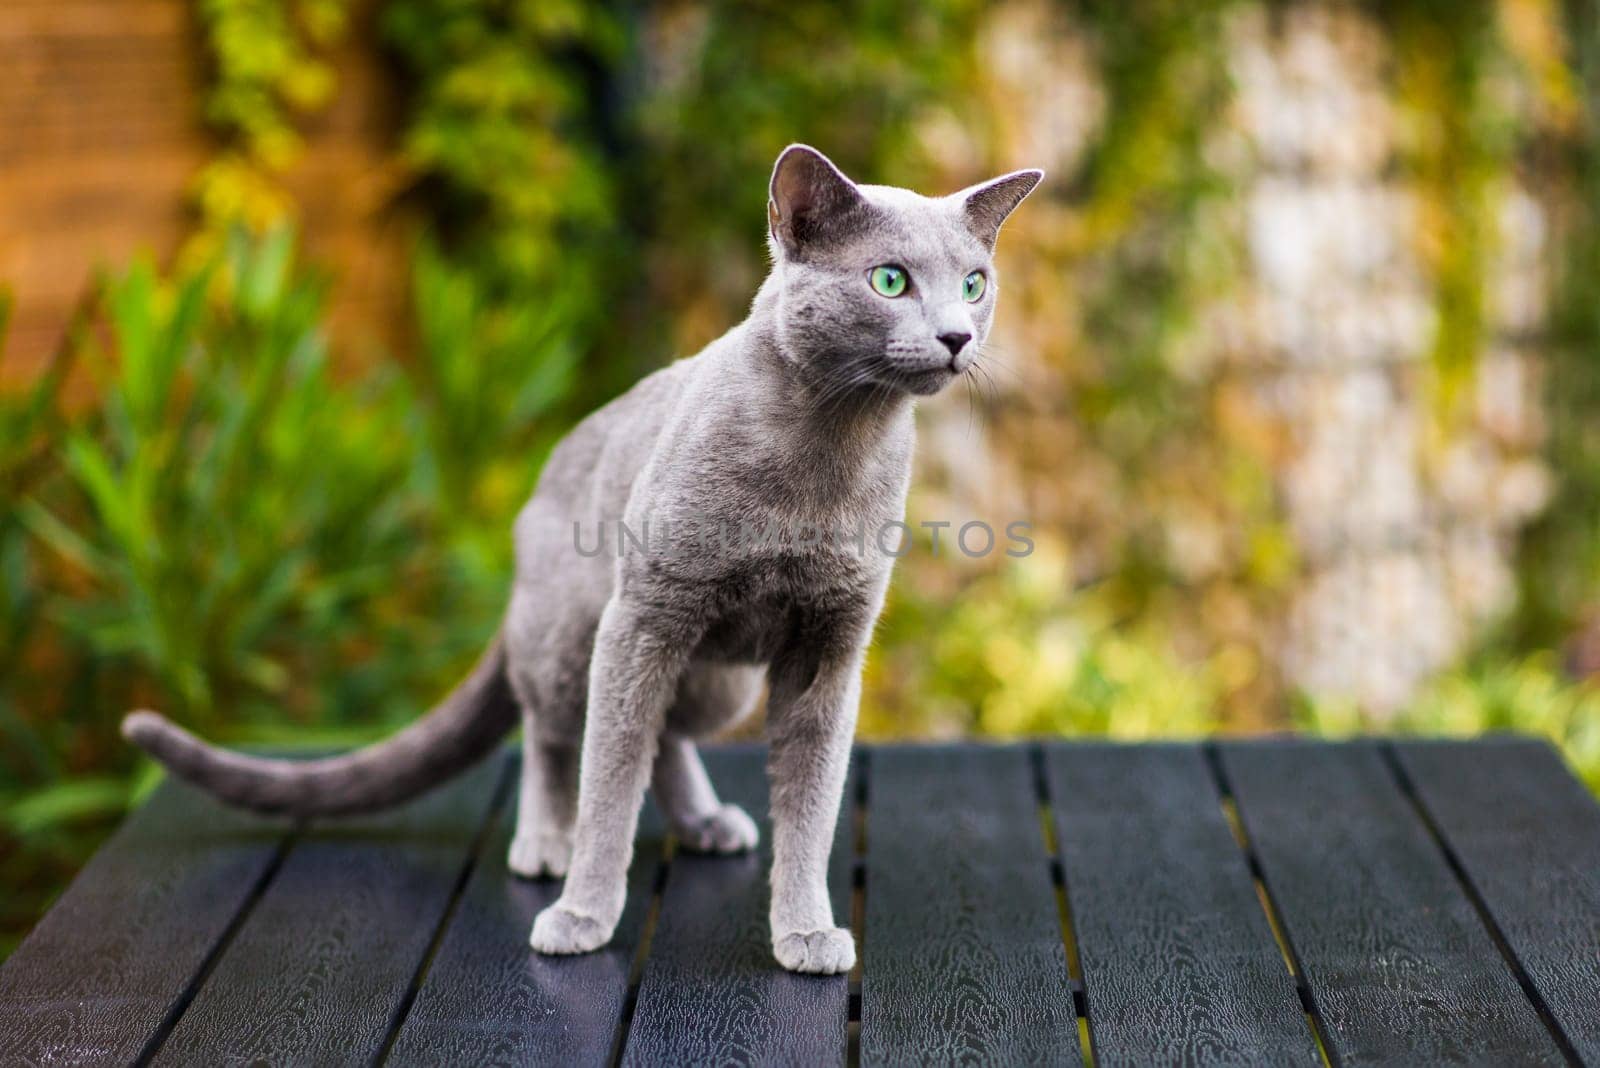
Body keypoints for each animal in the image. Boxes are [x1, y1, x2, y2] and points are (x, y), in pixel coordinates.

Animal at [128, 146, 1049, 972]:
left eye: (974, 282)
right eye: (890, 281)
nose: (956, 334)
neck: (829, 452)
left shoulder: (829, 645)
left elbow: (812, 803)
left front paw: (806, 933)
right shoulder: (643, 618)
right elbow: (607, 779)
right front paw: (583, 914)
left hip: (721, 677)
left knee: (668, 731)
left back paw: (706, 823)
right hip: (570, 633)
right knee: (549, 732)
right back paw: (545, 842)